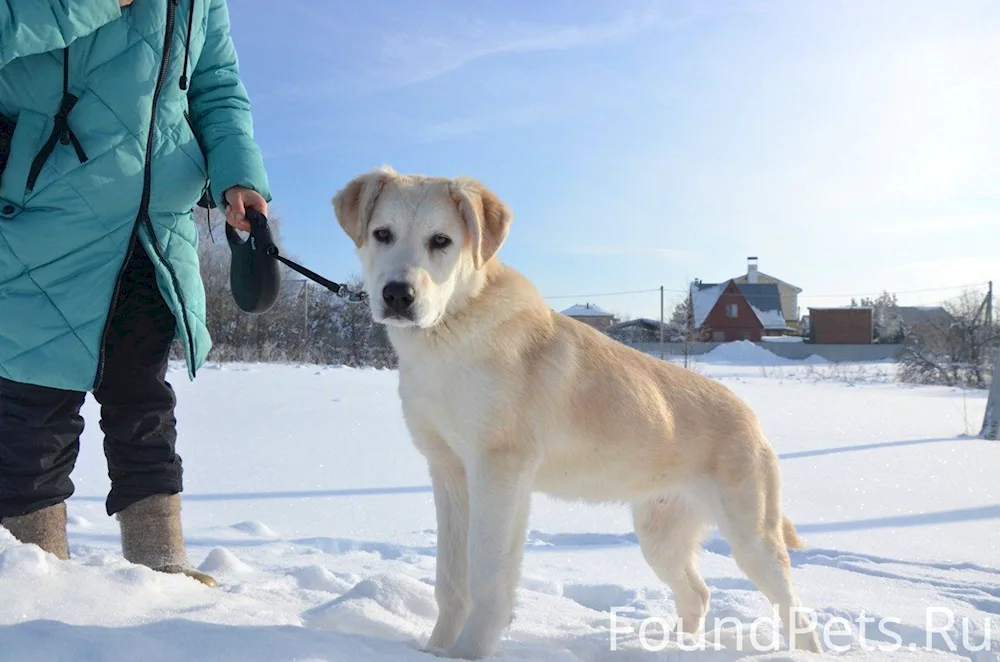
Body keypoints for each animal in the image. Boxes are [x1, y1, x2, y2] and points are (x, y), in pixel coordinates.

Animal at [332, 167, 816, 660]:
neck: (449, 334)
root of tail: (751, 417)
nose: (397, 295)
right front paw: (435, 650)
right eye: (382, 234)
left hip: (752, 539)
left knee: (796, 610)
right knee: (697, 594)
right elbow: (450, 580)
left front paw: (468, 652)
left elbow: (486, 576)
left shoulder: (500, 474)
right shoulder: (448, 472)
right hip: (659, 538)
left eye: (441, 240)